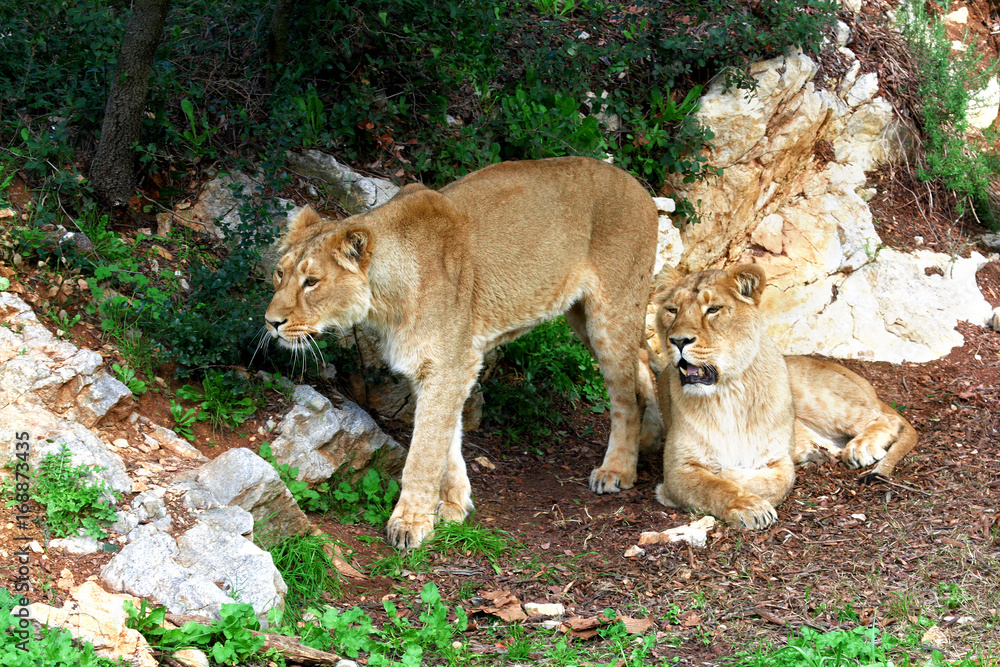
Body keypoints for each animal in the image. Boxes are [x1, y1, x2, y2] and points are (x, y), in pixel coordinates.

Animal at [264, 156, 662, 549]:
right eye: (279, 273)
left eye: (311, 282)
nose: (271, 322)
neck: (384, 299)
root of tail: (639, 187)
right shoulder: (441, 365)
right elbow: (448, 439)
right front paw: (455, 505)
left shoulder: (449, 365)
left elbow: (425, 450)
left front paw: (410, 523)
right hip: (581, 316)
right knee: (641, 358)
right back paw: (650, 437)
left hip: (610, 314)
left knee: (625, 396)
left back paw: (618, 470)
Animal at [651, 264, 917, 530]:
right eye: (672, 310)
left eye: (713, 309)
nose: (678, 340)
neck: (727, 393)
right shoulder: (678, 468)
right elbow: (713, 488)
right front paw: (749, 507)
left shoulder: (779, 461)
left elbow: (770, 483)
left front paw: (728, 476)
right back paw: (814, 453)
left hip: (814, 397)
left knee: (890, 420)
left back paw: (860, 448)